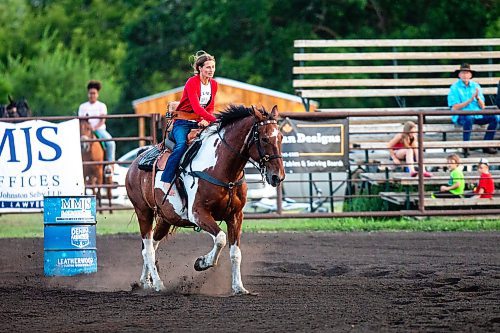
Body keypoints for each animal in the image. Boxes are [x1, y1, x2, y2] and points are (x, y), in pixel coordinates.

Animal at [125, 104, 286, 294]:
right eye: (265, 138)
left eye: (281, 137)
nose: (277, 176)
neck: (222, 169)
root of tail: (136, 162)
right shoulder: (198, 214)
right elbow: (221, 238)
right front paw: (202, 263)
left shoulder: (236, 216)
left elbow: (235, 253)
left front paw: (238, 287)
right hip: (143, 212)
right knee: (148, 249)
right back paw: (158, 284)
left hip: (165, 218)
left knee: (151, 245)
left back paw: (145, 282)